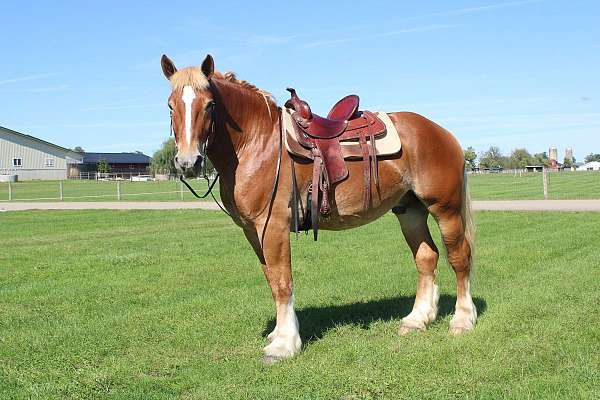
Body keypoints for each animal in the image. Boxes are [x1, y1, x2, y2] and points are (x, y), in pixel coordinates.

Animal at [162, 53, 476, 362]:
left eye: (210, 105)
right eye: (170, 107)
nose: (188, 162)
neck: (258, 142)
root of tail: (443, 133)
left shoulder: (273, 226)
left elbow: (283, 283)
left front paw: (284, 344)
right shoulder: (252, 231)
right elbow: (271, 279)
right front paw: (277, 334)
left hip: (445, 209)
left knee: (459, 258)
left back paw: (462, 320)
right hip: (410, 211)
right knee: (426, 258)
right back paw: (417, 319)